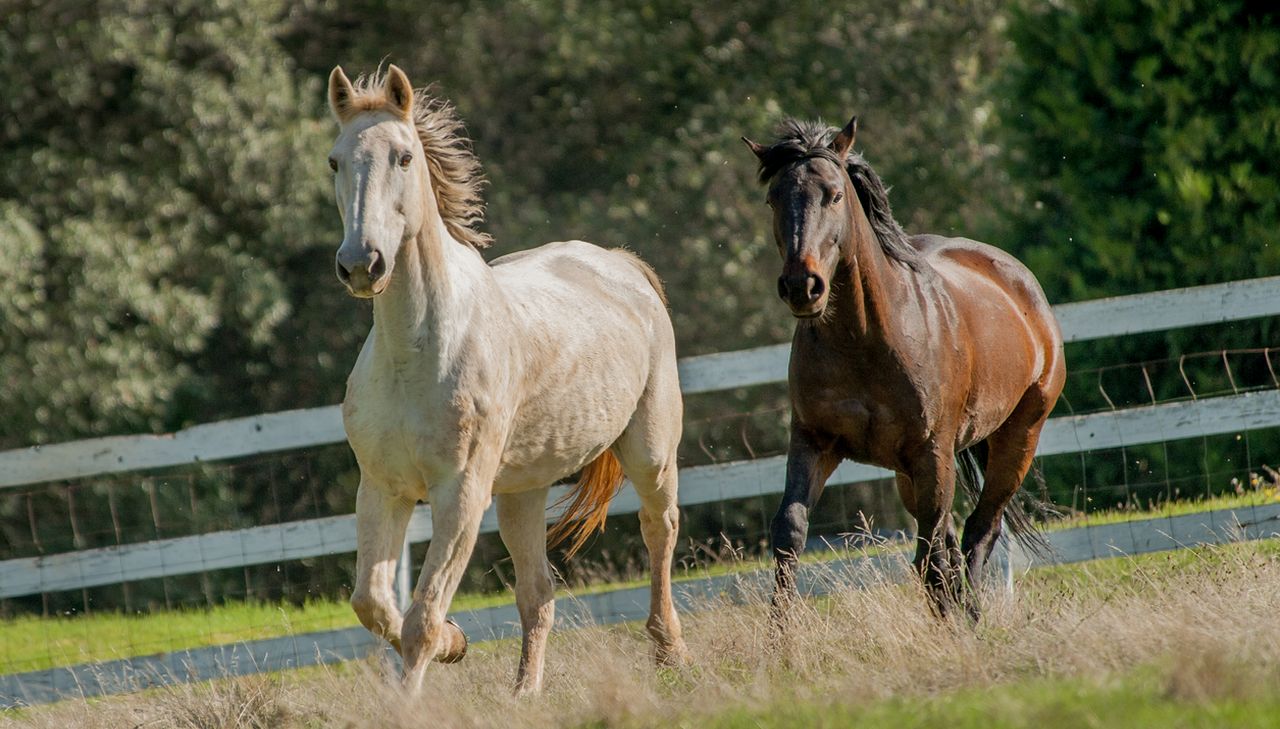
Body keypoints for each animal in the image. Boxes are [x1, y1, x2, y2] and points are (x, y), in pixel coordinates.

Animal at [330, 63, 686, 690]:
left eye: (403, 156)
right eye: (334, 161)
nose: (361, 264)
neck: (414, 355)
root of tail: (621, 265)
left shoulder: (461, 495)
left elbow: (422, 618)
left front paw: (423, 678)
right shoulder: (382, 487)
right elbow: (372, 603)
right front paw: (457, 644)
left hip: (650, 452)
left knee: (658, 528)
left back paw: (669, 650)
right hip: (523, 490)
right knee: (537, 594)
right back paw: (525, 693)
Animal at [747, 116, 1064, 616]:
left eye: (834, 194)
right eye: (773, 198)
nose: (802, 286)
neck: (865, 342)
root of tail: (1020, 282)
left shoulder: (930, 452)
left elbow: (932, 554)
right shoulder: (813, 441)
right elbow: (789, 532)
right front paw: (780, 632)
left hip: (1017, 439)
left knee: (979, 531)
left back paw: (973, 615)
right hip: (911, 474)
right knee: (951, 542)